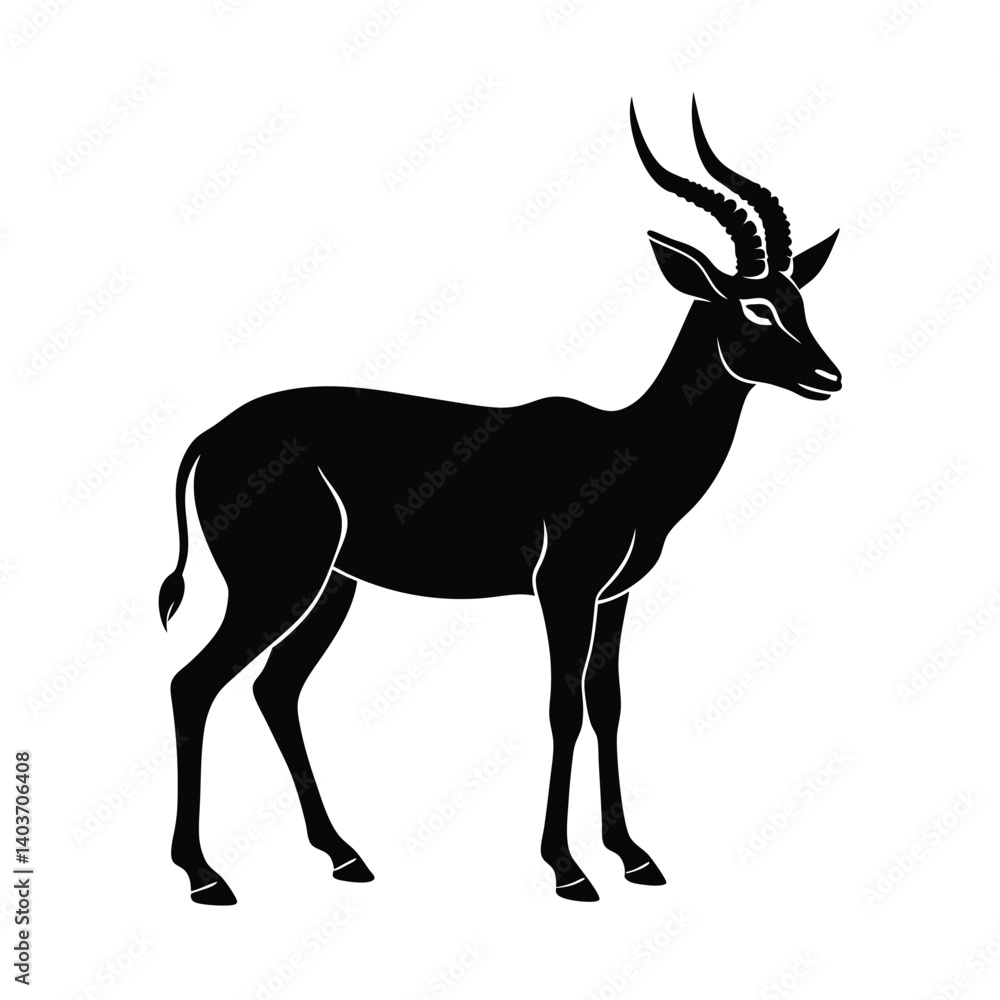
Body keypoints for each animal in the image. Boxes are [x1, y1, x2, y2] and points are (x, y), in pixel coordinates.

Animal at [160, 97, 842, 904]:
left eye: (801, 299)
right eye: (756, 306)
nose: (828, 376)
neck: (631, 448)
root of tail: (210, 437)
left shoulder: (614, 596)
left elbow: (608, 704)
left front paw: (634, 857)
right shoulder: (562, 589)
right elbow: (562, 707)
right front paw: (568, 869)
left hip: (330, 588)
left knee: (274, 689)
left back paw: (343, 855)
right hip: (276, 585)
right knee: (193, 683)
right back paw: (205, 875)